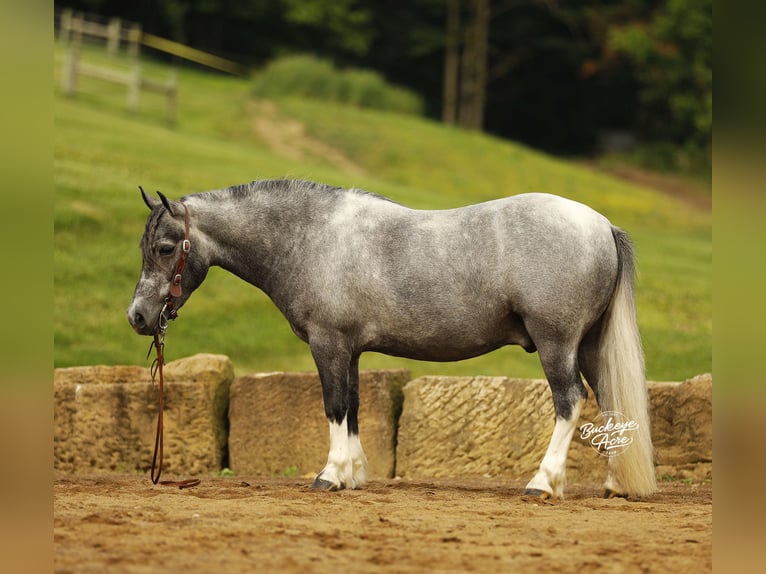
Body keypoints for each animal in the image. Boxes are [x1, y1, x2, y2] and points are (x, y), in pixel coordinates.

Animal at [127, 179, 657, 499]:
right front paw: (354, 475)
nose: (138, 316)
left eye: (166, 248)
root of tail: (601, 225)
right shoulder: (351, 350)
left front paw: (331, 475)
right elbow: (354, 406)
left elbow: (334, 405)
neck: (311, 238)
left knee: (570, 401)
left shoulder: (329, 344)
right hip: (589, 347)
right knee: (610, 403)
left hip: (557, 344)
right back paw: (615, 484)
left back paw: (542, 483)